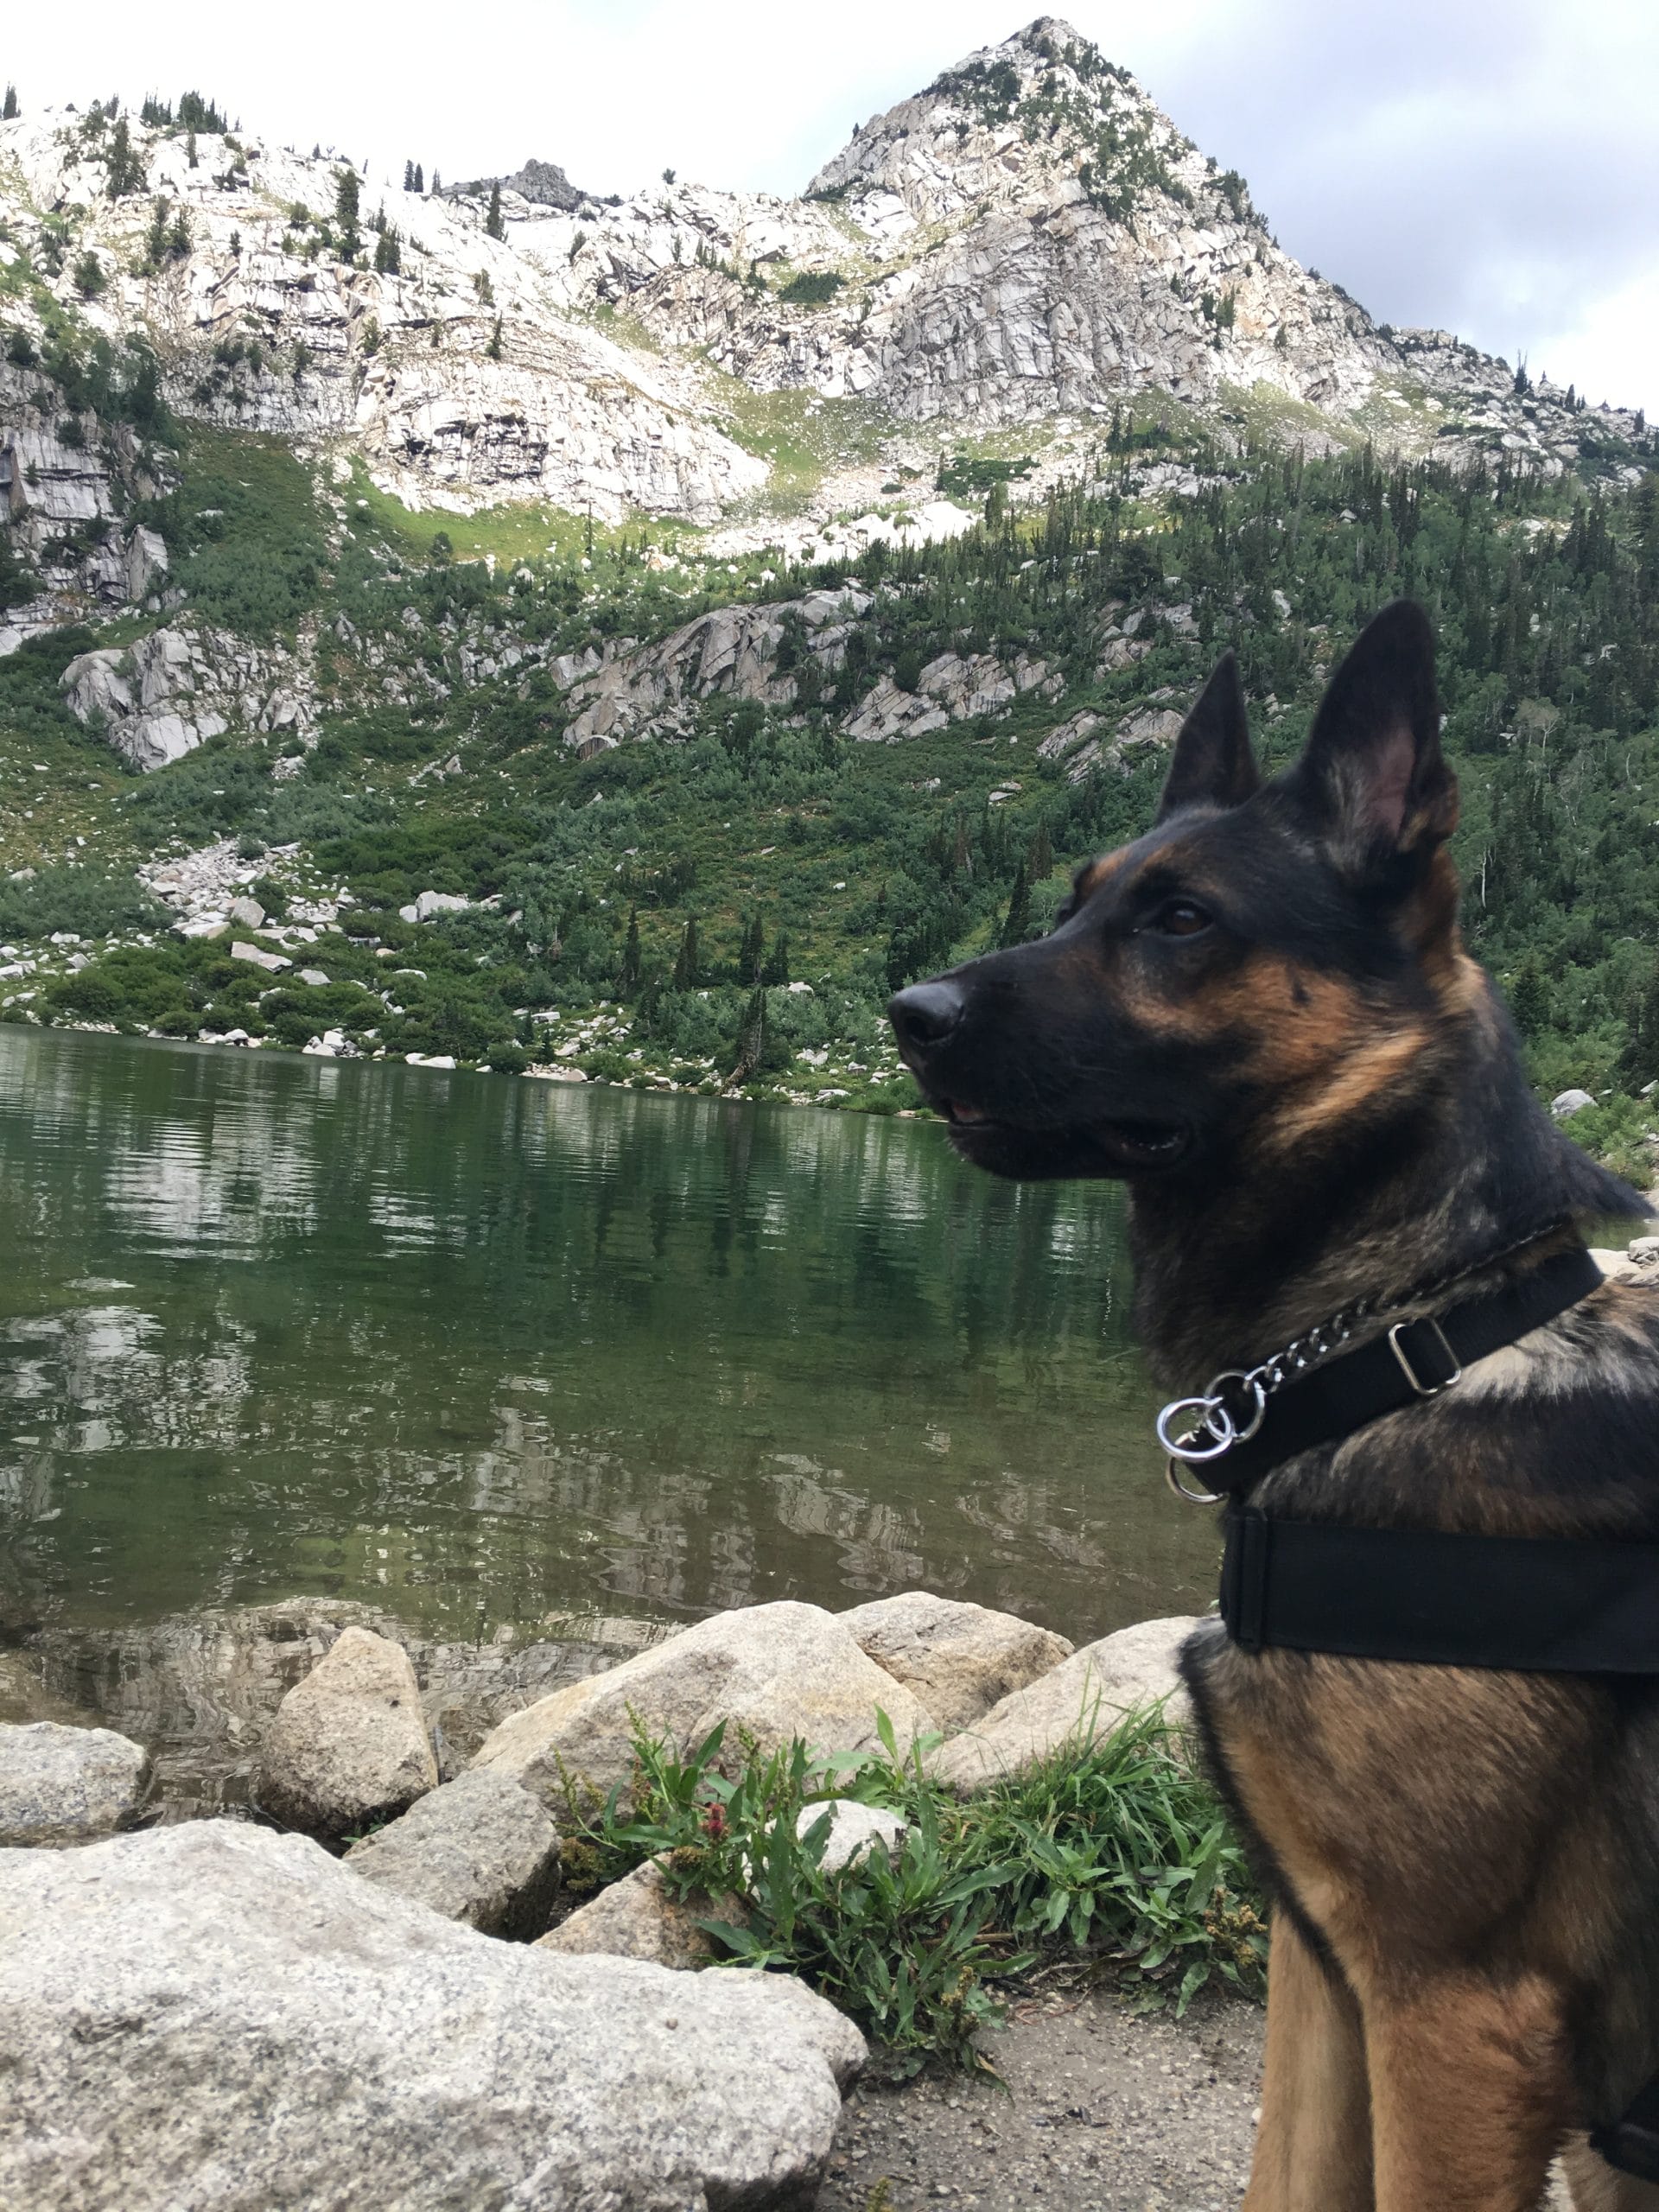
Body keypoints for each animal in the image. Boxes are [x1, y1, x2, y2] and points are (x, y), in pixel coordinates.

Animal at [889, 600, 1659, 2211]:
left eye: (1181, 920)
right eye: (1079, 897)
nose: (908, 1012)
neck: (1414, 1338)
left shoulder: (1455, 2012)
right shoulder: (1325, 1971)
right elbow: (1287, 2179)